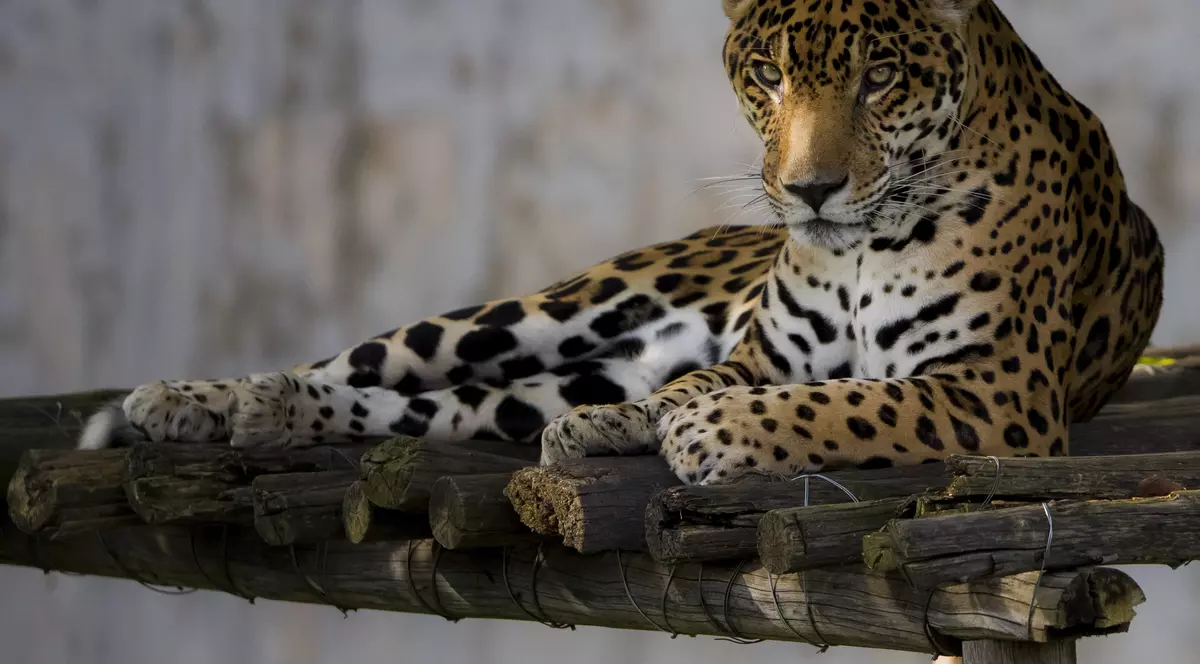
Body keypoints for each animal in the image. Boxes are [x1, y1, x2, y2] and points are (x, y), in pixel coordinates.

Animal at [80, 0, 1164, 488]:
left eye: (881, 79)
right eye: (768, 75)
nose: (809, 189)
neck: (858, 246)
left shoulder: (996, 390)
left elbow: (847, 402)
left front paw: (697, 430)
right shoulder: (763, 355)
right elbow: (741, 385)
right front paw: (650, 423)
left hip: (546, 374)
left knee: (430, 407)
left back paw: (254, 415)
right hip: (540, 310)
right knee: (370, 364)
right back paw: (202, 400)